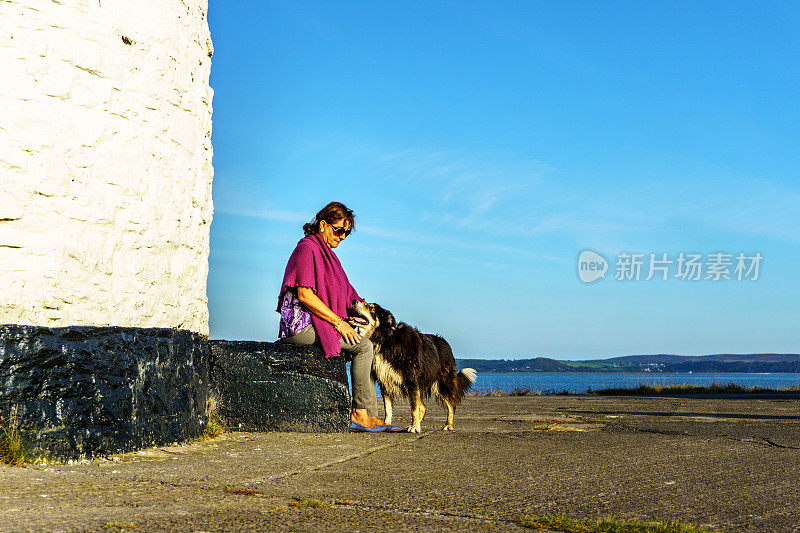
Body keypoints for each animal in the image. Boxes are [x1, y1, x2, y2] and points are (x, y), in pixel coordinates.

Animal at [348, 300, 476, 432]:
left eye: (371, 307)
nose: (354, 301)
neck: (385, 339)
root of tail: (445, 343)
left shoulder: (412, 380)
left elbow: (414, 408)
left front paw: (415, 427)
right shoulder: (385, 382)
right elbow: (388, 408)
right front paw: (387, 425)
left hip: (442, 383)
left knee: (451, 404)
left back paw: (448, 425)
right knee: (423, 406)